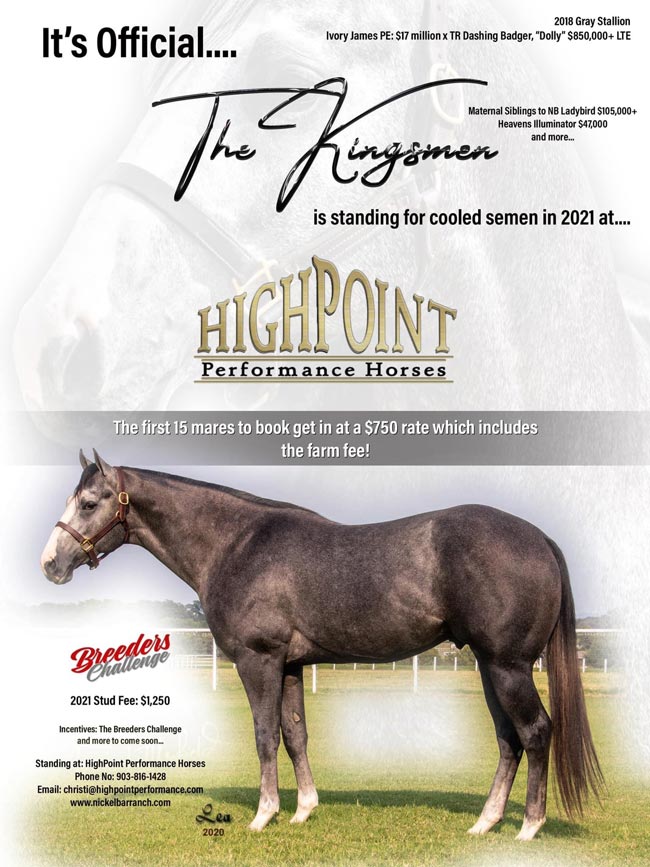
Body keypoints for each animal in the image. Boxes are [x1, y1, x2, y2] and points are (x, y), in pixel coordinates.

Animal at [40, 452, 603, 839]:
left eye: (88, 503)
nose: (50, 564)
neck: (236, 544)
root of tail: (538, 538)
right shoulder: (290, 665)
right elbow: (295, 735)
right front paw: (303, 810)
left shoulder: (258, 661)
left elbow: (264, 736)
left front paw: (263, 816)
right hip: (491, 667)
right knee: (509, 739)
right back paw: (486, 823)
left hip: (508, 666)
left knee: (535, 732)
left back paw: (529, 828)